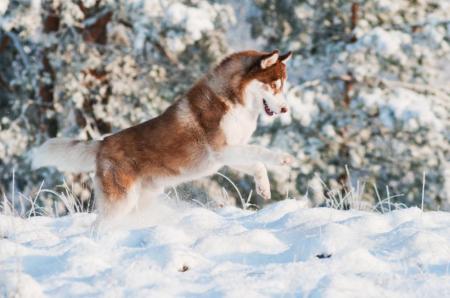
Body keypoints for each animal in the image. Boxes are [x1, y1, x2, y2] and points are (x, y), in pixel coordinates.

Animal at [33, 49, 296, 226]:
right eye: (274, 85)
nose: (285, 109)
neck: (234, 101)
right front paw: (283, 159)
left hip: (142, 199)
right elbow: (260, 152)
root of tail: (102, 143)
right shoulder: (222, 149)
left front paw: (264, 187)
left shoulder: (231, 153)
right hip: (120, 202)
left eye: (283, 86)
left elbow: (256, 163)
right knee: (99, 225)